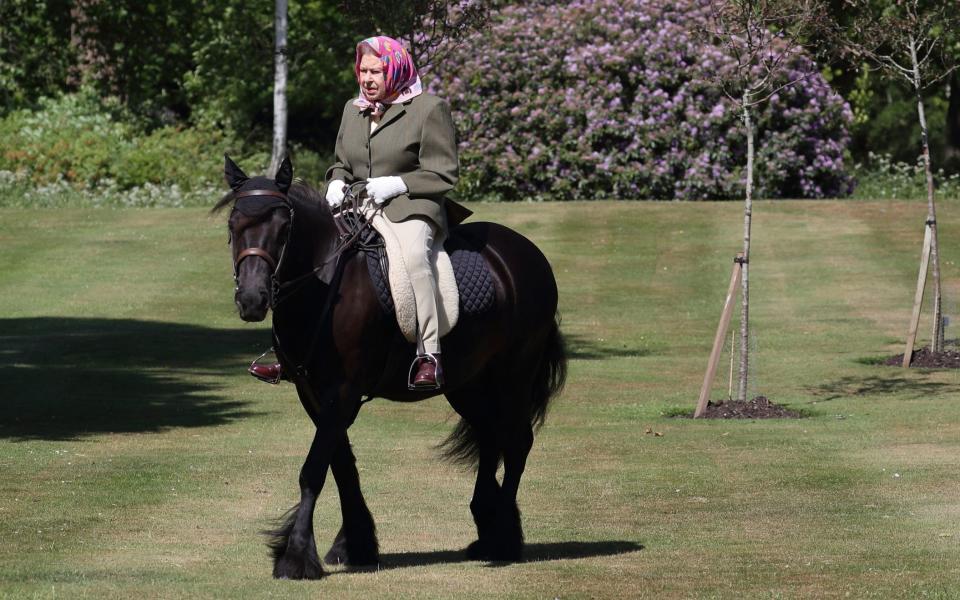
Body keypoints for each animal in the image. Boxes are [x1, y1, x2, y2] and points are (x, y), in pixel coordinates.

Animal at [214, 157, 568, 580]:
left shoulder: (343, 391)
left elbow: (314, 469)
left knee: (515, 443)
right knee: (489, 437)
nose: (252, 299)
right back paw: (486, 527)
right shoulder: (313, 393)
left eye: (285, 228)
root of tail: (525, 253)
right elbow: (341, 465)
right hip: (468, 383)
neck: (325, 284)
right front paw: (354, 544)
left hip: (513, 375)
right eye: (233, 225)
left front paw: (296, 556)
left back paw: (503, 539)